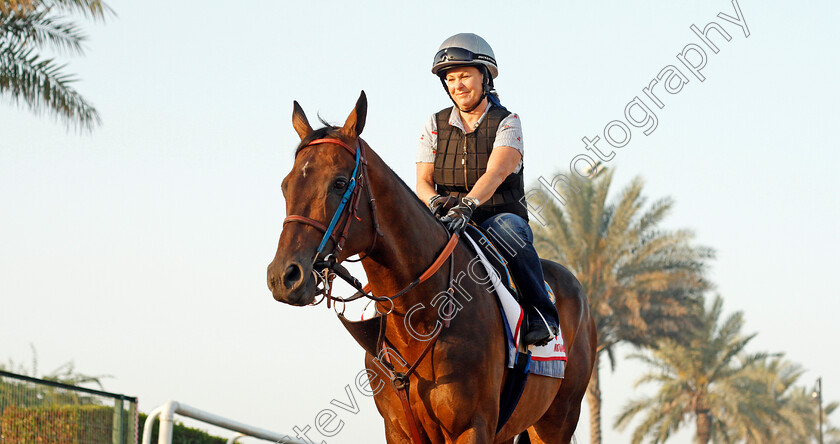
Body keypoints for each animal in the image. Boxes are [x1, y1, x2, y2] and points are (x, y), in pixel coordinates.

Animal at [270, 91, 596, 444]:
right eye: (285, 185)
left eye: (340, 182)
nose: (284, 276)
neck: (421, 315)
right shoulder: (398, 430)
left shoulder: (473, 427)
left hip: (557, 419)